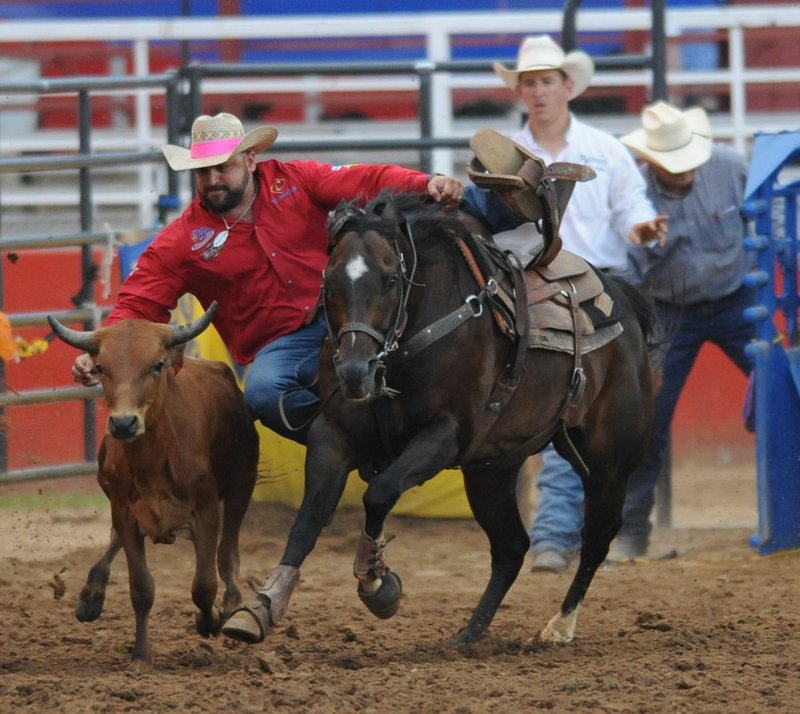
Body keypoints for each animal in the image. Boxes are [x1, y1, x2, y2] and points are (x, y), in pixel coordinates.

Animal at [223, 189, 656, 644]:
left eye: (391, 280)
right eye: (329, 282)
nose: (354, 371)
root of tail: (624, 302)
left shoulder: (445, 435)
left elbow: (379, 493)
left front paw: (377, 583)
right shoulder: (334, 435)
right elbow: (309, 517)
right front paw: (262, 606)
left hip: (609, 463)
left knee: (596, 539)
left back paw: (559, 625)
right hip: (492, 468)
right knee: (511, 547)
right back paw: (469, 633)